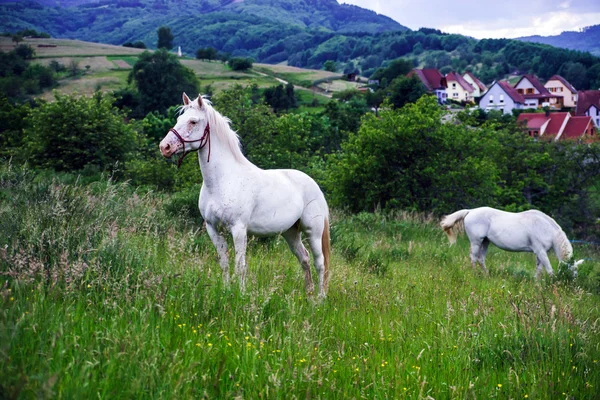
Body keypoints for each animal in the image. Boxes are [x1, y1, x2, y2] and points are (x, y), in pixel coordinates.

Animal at [159, 92, 330, 296]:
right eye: (179, 119)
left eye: (193, 121)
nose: (165, 147)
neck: (223, 181)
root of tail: (315, 186)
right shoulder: (213, 229)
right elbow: (224, 263)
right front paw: (226, 291)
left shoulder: (239, 229)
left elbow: (240, 266)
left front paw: (240, 295)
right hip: (290, 232)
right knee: (304, 258)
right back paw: (309, 295)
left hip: (313, 231)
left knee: (320, 263)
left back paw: (320, 298)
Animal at [438, 206, 584, 278]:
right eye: (573, 272)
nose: (570, 286)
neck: (546, 228)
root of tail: (470, 211)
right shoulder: (541, 251)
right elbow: (548, 269)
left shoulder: (539, 253)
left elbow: (539, 270)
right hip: (476, 242)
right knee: (473, 258)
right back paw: (475, 275)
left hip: (485, 242)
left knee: (481, 259)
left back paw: (487, 276)